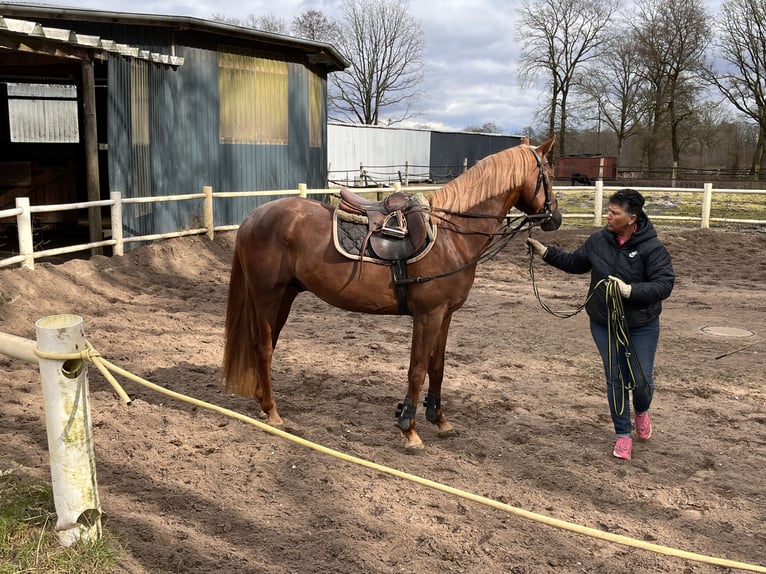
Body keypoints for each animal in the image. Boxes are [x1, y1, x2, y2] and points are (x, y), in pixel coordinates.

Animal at [222, 136, 564, 454]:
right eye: (548, 173)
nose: (556, 218)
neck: (451, 235)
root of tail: (253, 217)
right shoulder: (428, 315)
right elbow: (417, 370)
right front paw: (408, 428)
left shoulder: (445, 315)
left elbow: (437, 368)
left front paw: (439, 420)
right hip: (267, 296)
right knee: (263, 347)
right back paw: (273, 412)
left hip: (285, 297)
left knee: (266, 347)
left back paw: (263, 402)